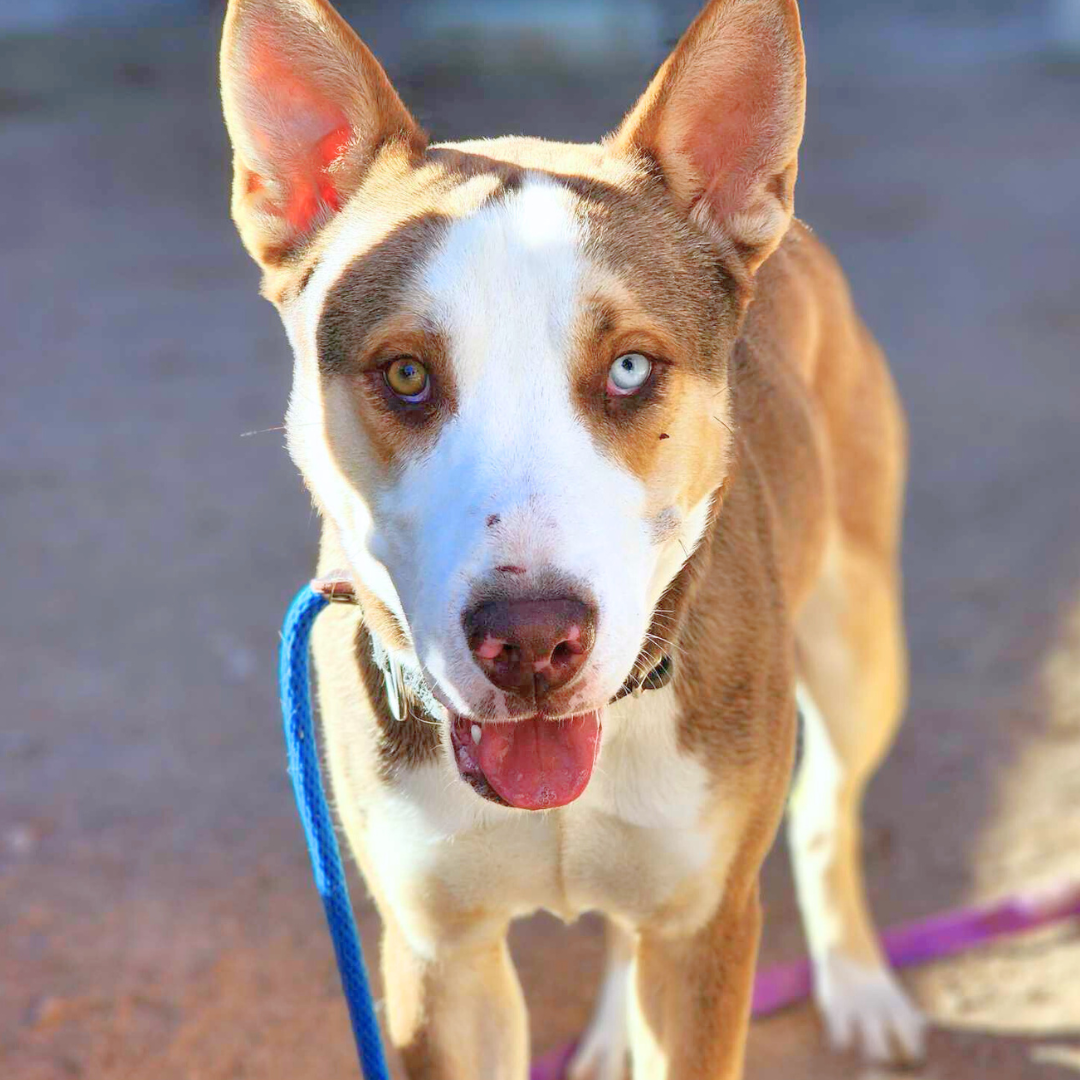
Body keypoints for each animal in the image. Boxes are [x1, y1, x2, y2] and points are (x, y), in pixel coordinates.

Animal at [219, 0, 928, 1071]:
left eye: (630, 368)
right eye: (406, 374)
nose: (531, 638)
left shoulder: (703, 933)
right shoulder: (438, 960)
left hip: (857, 649)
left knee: (825, 811)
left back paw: (857, 983)